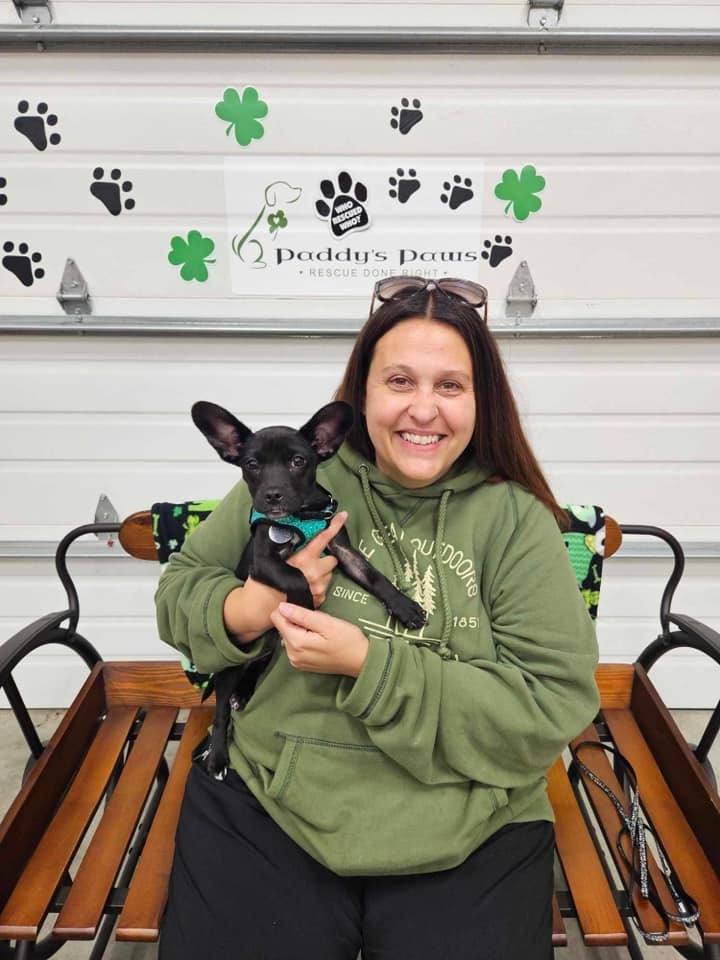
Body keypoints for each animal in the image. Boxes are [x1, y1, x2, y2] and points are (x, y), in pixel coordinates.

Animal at [191, 400, 428, 780]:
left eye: (298, 461)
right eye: (251, 464)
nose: (272, 495)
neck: (300, 516)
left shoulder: (343, 551)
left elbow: (375, 576)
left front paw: (405, 607)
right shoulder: (265, 563)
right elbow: (297, 578)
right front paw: (304, 609)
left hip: (263, 652)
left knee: (255, 667)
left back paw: (244, 692)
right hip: (229, 667)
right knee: (221, 710)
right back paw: (217, 755)